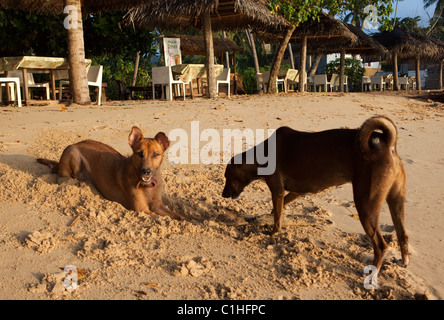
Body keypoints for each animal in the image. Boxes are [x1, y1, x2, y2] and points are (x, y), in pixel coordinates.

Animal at [37, 126, 183, 221]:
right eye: (139, 154)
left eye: (156, 154)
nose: (146, 171)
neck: (148, 186)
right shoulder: (143, 210)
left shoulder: (157, 205)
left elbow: (178, 216)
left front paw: (186, 220)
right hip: (72, 151)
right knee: (72, 177)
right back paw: (83, 183)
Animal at [222, 116, 410, 272]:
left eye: (227, 177)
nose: (223, 194)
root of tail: (388, 145)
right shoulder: (296, 191)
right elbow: (279, 209)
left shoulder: (277, 191)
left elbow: (277, 217)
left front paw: (273, 232)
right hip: (395, 201)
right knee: (402, 235)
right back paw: (404, 261)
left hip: (366, 205)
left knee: (380, 245)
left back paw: (372, 272)